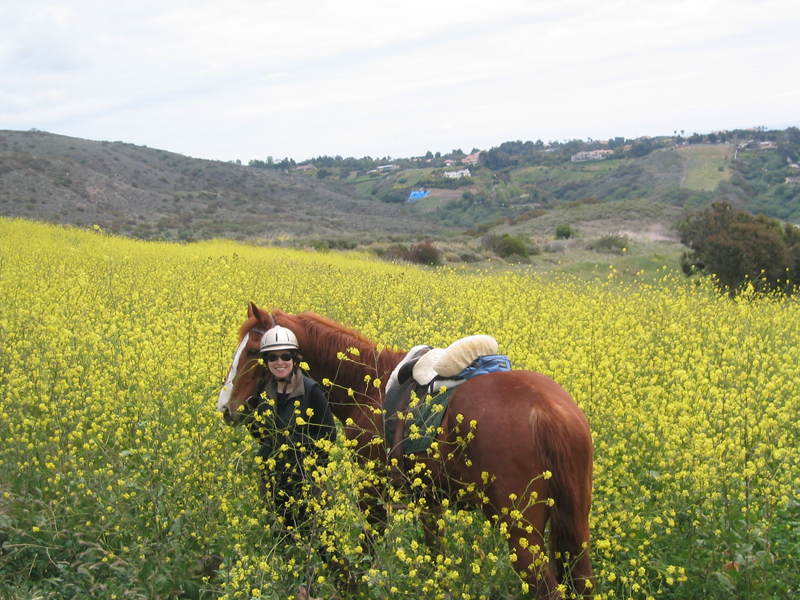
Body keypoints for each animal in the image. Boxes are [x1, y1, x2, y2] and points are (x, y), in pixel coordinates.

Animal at [219, 308, 592, 596]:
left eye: (253, 352)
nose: (227, 408)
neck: (367, 385)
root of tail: (547, 410)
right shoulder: (428, 500)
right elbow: (438, 557)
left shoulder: (372, 489)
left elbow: (370, 545)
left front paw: (354, 586)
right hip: (575, 525)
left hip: (519, 531)